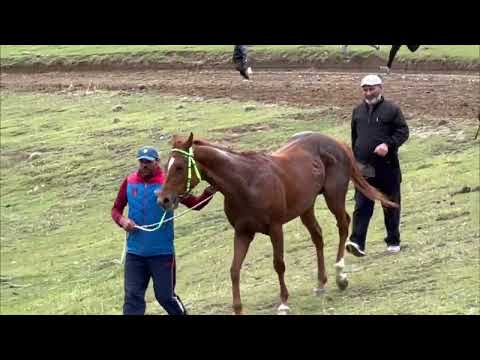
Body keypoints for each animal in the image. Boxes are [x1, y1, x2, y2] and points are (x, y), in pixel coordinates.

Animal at [158, 131, 398, 314]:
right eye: (166, 165)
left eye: (179, 167)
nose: (163, 199)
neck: (246, 182)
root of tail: (335, 142)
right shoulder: (243, 232)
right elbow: (234, 270)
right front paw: (238, 308)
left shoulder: (275, 228)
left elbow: (279, 264)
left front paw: (283, 303)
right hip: (306, 208)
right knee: (318, 236)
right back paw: (320, 283)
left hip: (334, 197)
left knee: (343, 225)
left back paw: (340, 275)